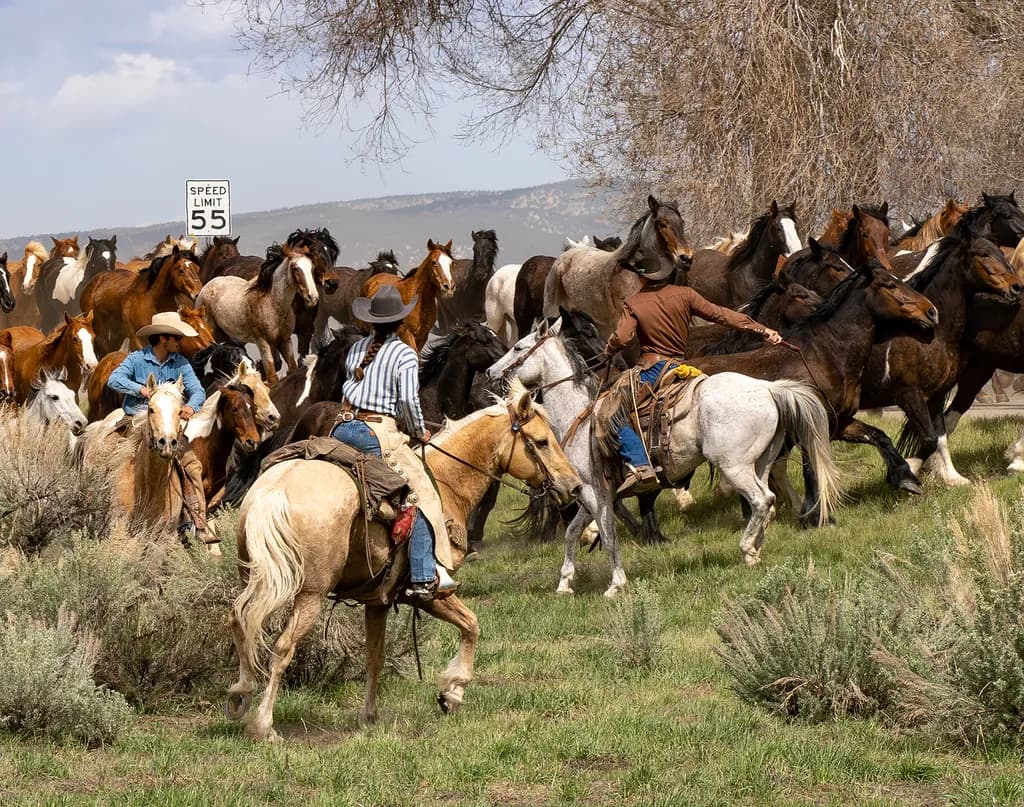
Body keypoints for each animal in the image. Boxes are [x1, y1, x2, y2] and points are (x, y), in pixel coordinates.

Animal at [196, 243, 318, 384]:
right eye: (296, 268)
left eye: (312, 267)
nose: (312, 298)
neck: (272, 304)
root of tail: (206, 286)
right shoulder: (263, 342)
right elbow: (272, 375)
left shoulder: (285, 340)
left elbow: (292, 368)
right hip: (212, 333)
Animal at [225, 379, 581, 741]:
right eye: (542, 441)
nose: (576, 486)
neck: (447, 484)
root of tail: (272, 494)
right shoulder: (432, 594)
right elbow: (472, 625)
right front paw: (452, 692)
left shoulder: (377, 601)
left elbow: (375, 655)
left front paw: (370, 715)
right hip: (310, 595)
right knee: (282, 648)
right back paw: (264, 724)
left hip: (254, 577)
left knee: (239, 620)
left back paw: (240, 694)